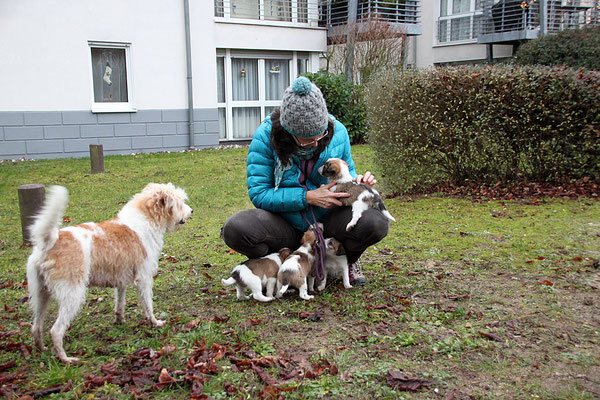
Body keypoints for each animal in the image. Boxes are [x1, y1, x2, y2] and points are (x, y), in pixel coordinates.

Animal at [25, 183, 192, 364]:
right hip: (72, 295)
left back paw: (41, 348)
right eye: (180, 202)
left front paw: (120, 320)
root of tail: (49, 242)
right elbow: (148, 304)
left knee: (36, 326)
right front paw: (154, 322)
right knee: (55, 330)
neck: (145, 219)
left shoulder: (121, 281)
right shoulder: (144, 278)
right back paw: (66, 359)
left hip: (41, 294)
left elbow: (120, 303)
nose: (191, 211)